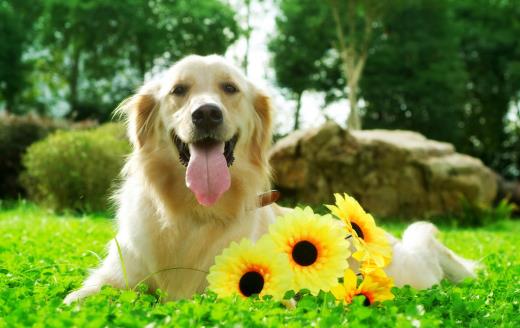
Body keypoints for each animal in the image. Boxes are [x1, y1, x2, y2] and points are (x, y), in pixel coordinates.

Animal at [63, 55, 478, 304]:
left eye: (229, 88)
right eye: (178, 90)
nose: (207, 114)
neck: (193, 214)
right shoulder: (114, 276)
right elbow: (74, 299)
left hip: (409, 274)